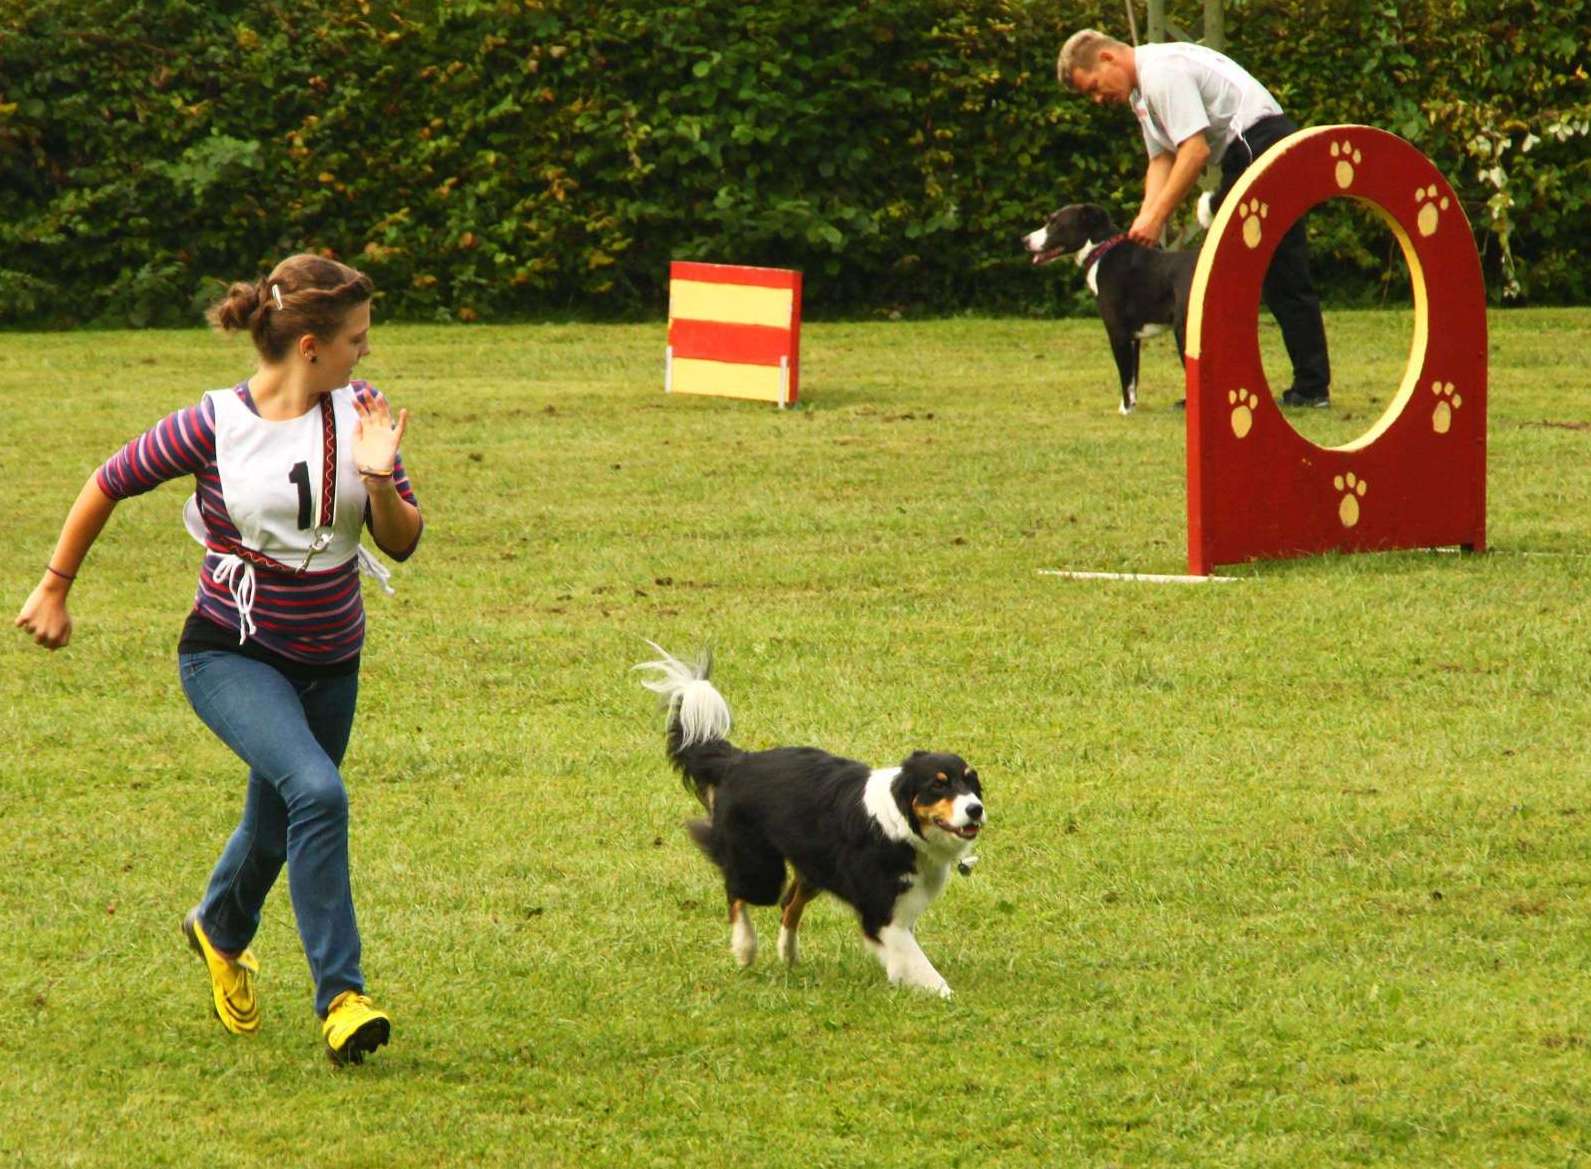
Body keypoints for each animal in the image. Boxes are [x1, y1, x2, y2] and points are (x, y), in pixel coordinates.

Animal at [633, 645, 980, 998]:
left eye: (971, 783)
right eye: (938, 785)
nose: (976, 810)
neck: (901, 825)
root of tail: (739, 761)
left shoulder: (899, 906)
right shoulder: (881, 911)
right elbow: (917, 960)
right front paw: (943, 994)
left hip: (814, 867)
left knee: (788, 904)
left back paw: (788, 954)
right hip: (761, 871)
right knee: (738, 892)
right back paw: (745, 948)